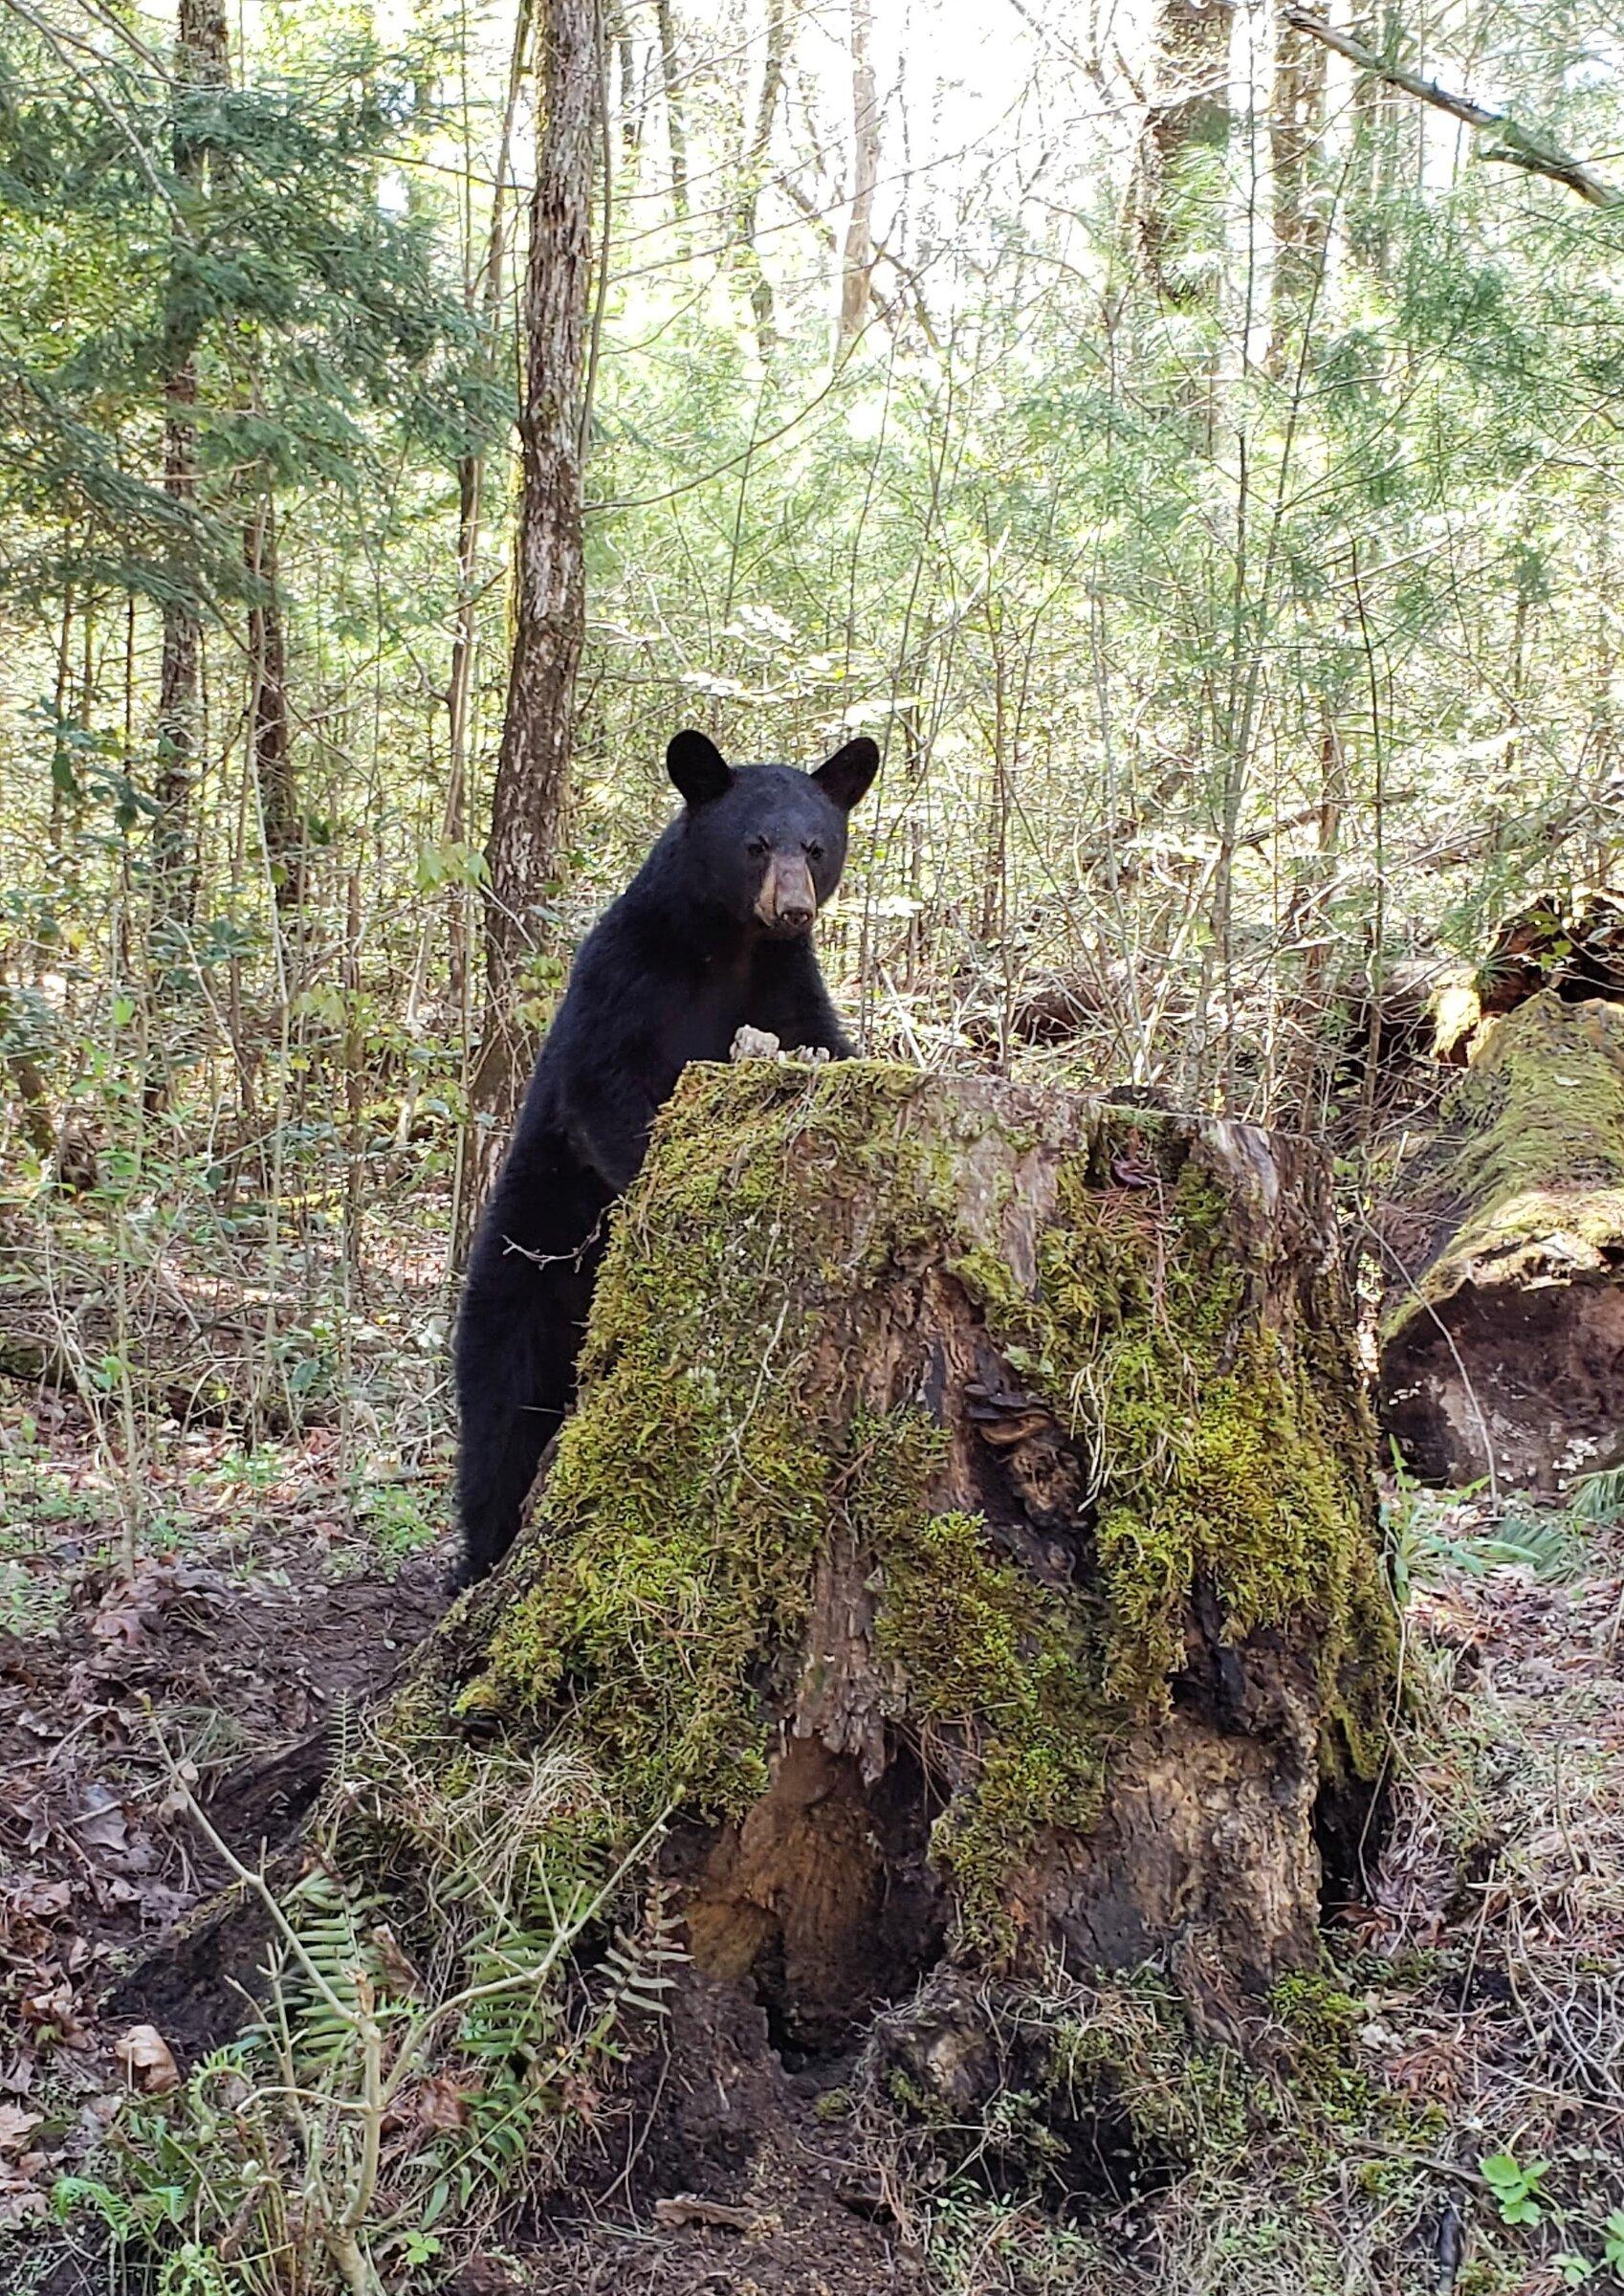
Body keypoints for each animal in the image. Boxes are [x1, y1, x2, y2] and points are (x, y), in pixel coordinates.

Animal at [453, 725, 880, 1584]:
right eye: (756, 844)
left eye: (817, 847)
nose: (792, 908)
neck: (730, 949)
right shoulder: (625, 982)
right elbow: (605, 1092)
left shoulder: (787, 991)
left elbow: (827, 1044)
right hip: (524, 1266)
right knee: (500, 1410)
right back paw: (479, 1558)